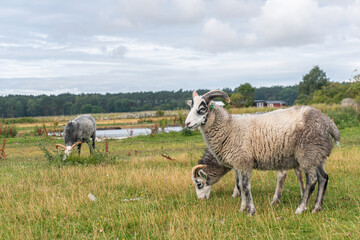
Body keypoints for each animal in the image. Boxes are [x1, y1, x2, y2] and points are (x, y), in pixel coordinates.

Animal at [186, 90, 340, 216]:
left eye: (202, 109)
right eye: (191, 107)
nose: (187, 124)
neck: (229, 127)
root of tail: (328, 122)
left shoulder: (243, 162)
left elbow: (245, 186)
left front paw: (251, 211)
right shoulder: (238, 164)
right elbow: (240, 185)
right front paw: (242, 208)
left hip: (307, 154)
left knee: (312, 180)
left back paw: (300, 208)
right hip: (318, 155)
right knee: (323, 178)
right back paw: (317, 207)